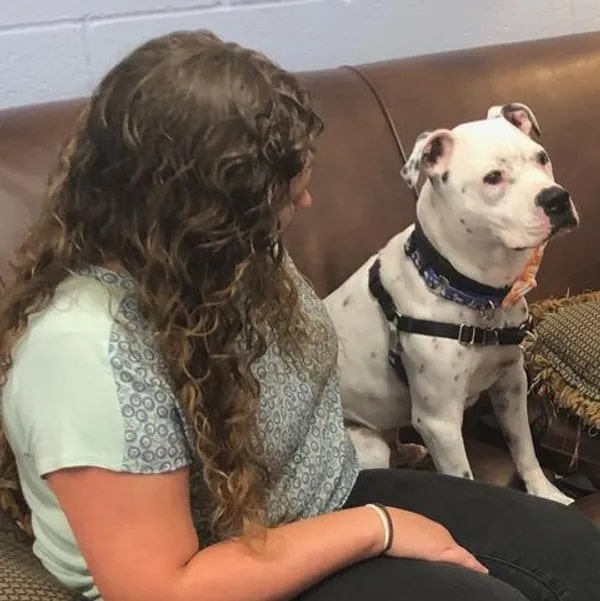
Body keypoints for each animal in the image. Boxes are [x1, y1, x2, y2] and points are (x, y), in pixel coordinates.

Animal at [326, 102, 580, 502]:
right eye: (493, 177)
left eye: (541, 157)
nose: (556, 198)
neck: (474, 294)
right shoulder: (440, 423)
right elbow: (463, 477)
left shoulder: (511, 384)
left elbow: (524, 449)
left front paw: (548, 494)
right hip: (368, 445)